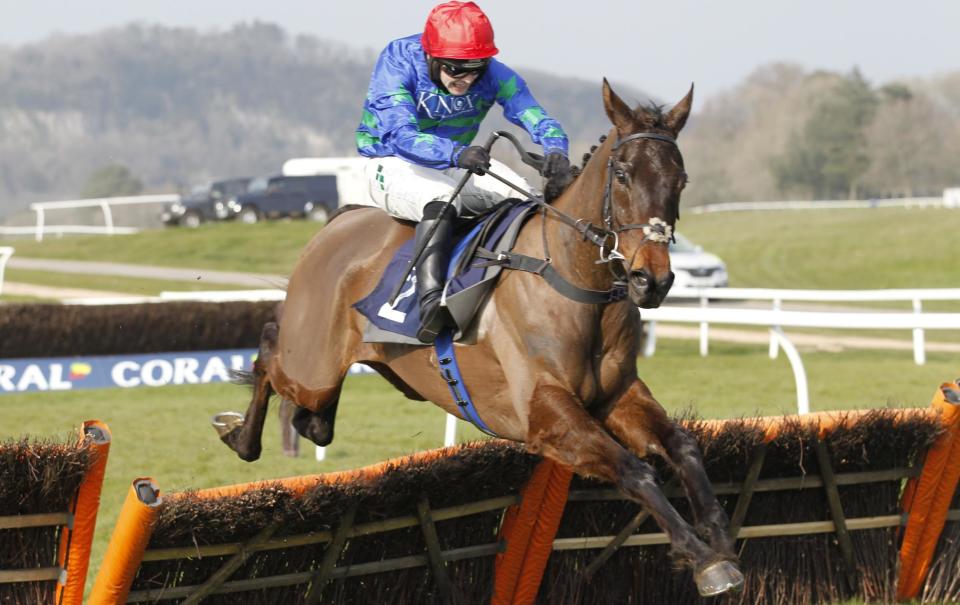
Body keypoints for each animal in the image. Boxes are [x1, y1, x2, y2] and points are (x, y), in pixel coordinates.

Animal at [216, 79, 744, 596]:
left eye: (680, 180)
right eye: (623, 175)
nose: (651, 280)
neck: (570, 279)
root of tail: (339, 219)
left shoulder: (617, 395)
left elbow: (683, 446)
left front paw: (719, 538)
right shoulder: (547, 418)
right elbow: (636, 470)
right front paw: (702, 558)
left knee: (311, 413)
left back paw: (308, 423)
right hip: (311, 367)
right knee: (269, 351)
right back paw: (237, 432)